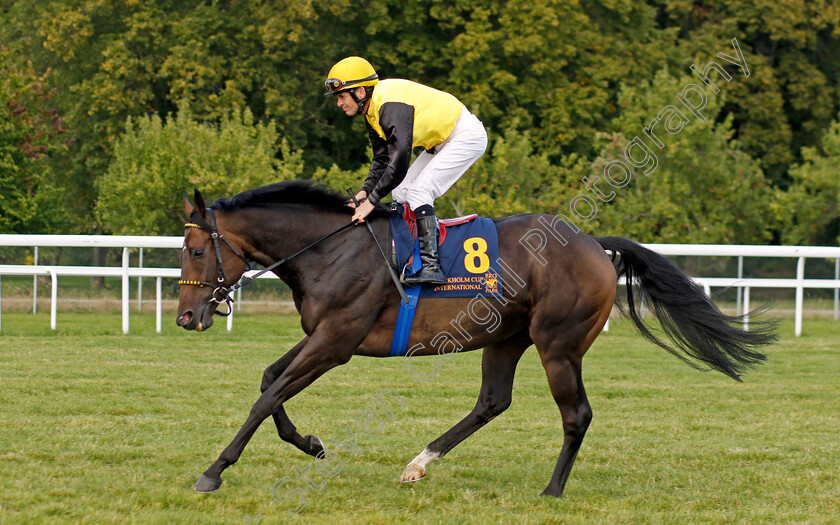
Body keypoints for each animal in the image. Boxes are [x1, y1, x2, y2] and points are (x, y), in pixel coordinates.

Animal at [176, 179, 776, 496]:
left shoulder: (336, 342)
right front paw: (312, 443)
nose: (185, 317)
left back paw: (552, 490)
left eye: (198, 251)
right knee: (492, 401)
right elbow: (269, 380)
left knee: (576, 414)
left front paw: (213, 471)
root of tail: (590, 242)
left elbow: (268, 396)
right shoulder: (321, 336)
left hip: (558, 345)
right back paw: (419, 462)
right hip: (505, 337)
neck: (329, 248)